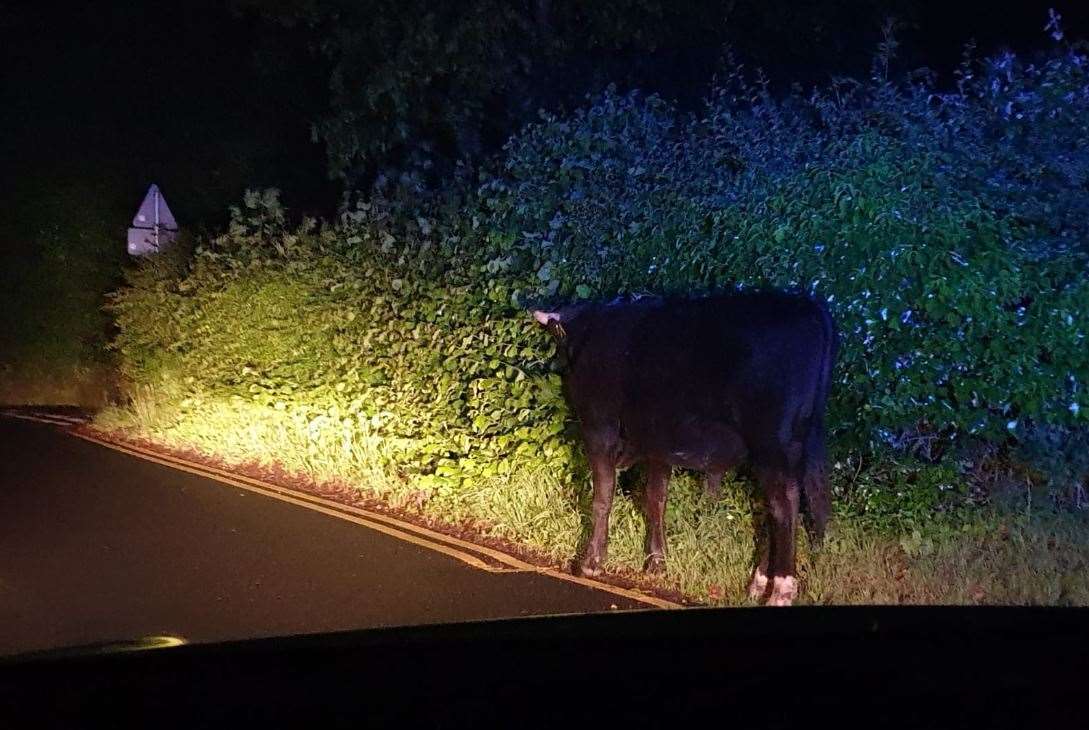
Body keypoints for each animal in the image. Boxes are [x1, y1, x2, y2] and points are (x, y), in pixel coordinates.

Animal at [531, 292, 836, 605]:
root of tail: (809, 304)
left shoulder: (599, 428)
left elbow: (603, 497)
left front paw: (591, 562)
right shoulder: (658, 443)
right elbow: (656, 498)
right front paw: (656, 562)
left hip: (774, 445)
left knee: (784, 506)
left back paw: (780, 591)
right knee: (779, 509)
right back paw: (760, 581)